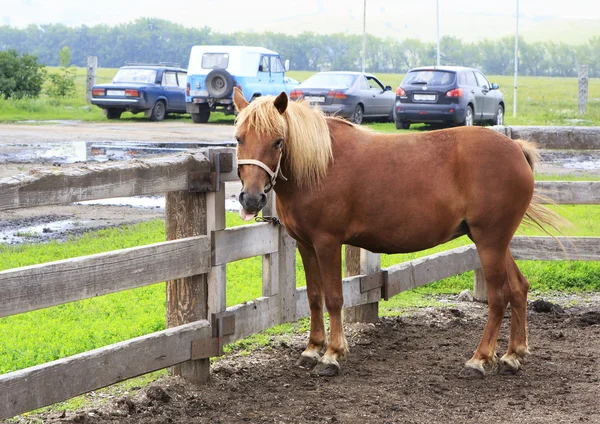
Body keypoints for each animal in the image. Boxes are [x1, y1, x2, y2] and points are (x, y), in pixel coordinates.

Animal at [231, 88, 564, 378]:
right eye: (238, 138)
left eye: (277, 141)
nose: (251, 198)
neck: (319, 164)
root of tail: (516, 149)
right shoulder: (305, 244)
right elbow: (314, 297)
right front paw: (312, 349)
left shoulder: (327, 242)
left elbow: (334, 298)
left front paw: (332, 355)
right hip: (495, 241)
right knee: (519, 288)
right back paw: (513, 355)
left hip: (490, 242)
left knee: (499, 296)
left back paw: (480, 360)